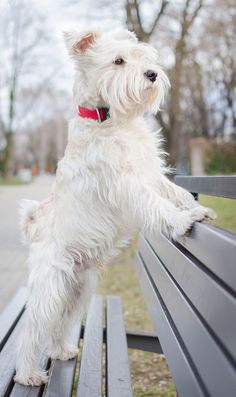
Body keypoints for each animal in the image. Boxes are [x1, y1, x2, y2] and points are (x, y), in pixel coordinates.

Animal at [13, 29, 215, 386]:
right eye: (118, 61)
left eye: (140, 56)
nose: (152, 74)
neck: (108, 118)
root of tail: (33, 227)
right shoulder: (127, 183)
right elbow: (157, 204)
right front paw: (183, 221)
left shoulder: (150, 174)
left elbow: (173, 192)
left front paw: (192, 206)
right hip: (50, 288)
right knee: (33, 329)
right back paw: (28, 374)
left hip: (78, 289)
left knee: (59, 325)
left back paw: (62, 351)